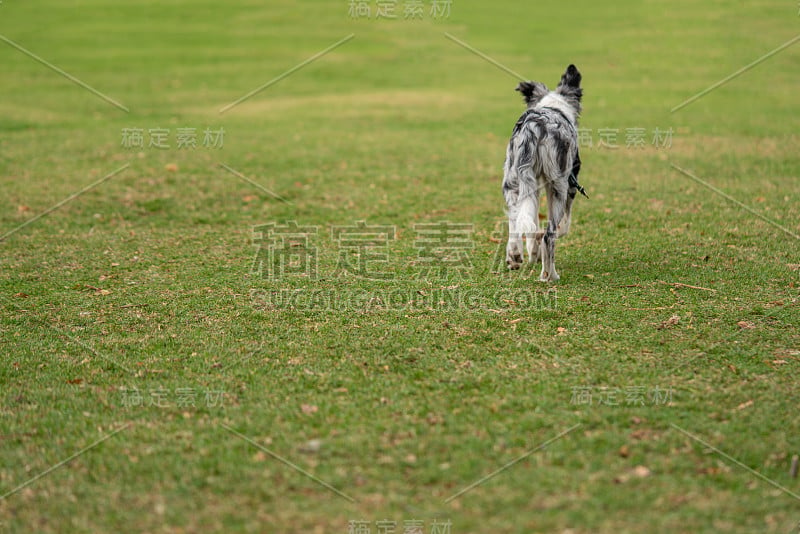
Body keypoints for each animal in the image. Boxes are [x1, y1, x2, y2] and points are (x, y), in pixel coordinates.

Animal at [504, 63, 584, 282]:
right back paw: (550, 275)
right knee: (550, 236)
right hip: (559, 187)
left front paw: (532, 252)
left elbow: (531, 226)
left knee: (514, 222)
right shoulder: (569, 187)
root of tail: (533, 126)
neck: (554, 106)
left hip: (513, 183)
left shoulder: (535, 185)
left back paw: (514, 255)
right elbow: (563, 227)